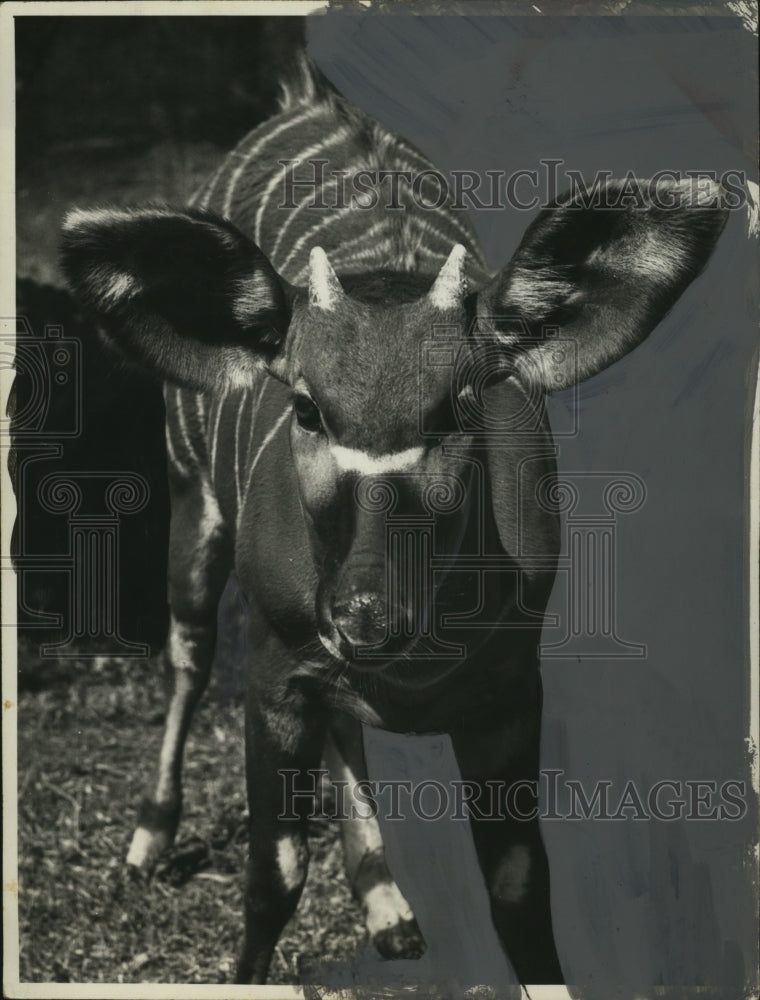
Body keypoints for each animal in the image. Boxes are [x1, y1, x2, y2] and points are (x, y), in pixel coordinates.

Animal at [61, 58, 727, 987]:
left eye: (456, 409)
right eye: (306, 406)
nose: (365, 611)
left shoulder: (508, 693)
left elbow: (520, 884)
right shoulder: (275, 668)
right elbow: (275, 871)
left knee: (344, 725)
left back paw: (385, 903)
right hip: (194, 503)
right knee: (187, 656)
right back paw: (147, 843)